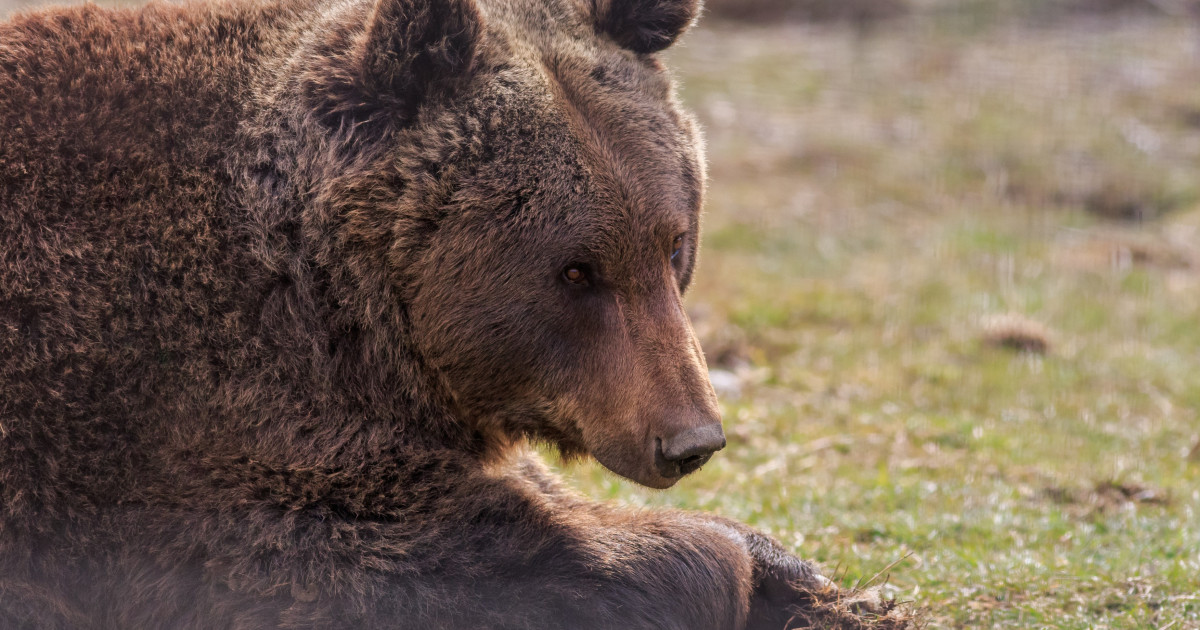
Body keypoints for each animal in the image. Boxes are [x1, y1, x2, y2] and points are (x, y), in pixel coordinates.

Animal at [0, 0, 912, 624]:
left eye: (673, 242)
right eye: (576, 270)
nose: (691, 440)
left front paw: (810, 579)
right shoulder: (173, 421)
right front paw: (717, 563)